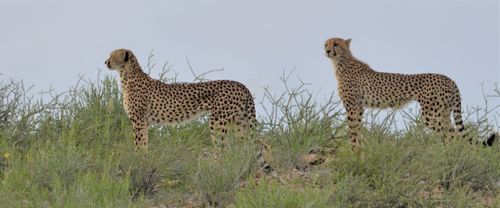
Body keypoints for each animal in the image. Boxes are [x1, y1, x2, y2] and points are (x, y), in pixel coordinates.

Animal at [104, 48, 256, 150]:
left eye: (112, 55)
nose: (105, 62)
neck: (127, 75)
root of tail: (241, 84)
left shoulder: (139, 120)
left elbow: (140, 144)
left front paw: (138, 160)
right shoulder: (144, 122)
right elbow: (145, 143)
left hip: (218, 120)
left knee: (223, 148)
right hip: (240, 121)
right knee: (251, 148)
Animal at [324, 37, 496, 148]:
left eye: (336, 44)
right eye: (326, 43)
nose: (327, 50)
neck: (341, 61)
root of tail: (449, 78)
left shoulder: (353, 107)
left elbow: (352, 131)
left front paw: (354, 153)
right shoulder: (359, 107)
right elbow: (357, 130)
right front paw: (359, 151)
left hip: (430, 114)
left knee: (449, 134)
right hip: (444, 112)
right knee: (454, 133)